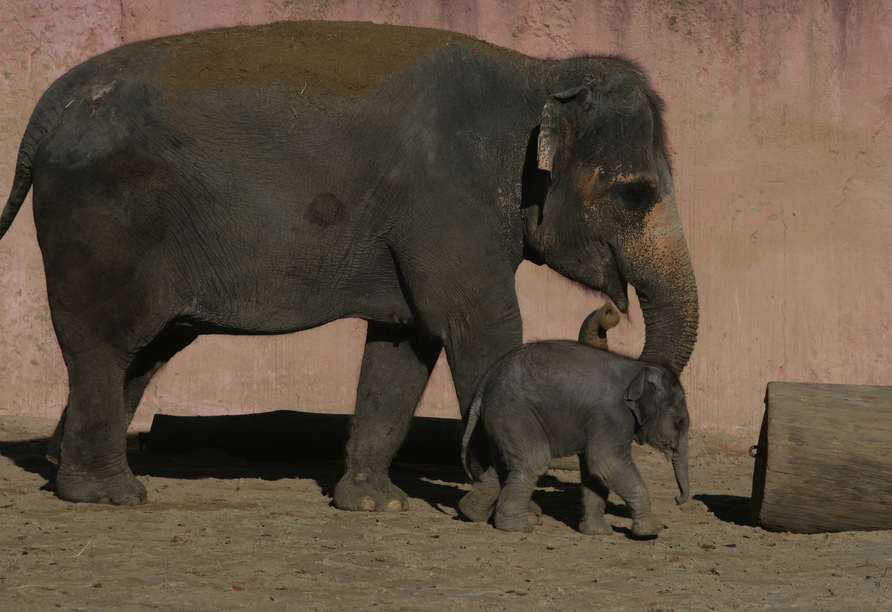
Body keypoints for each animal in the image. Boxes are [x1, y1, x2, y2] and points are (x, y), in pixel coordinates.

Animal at [0, 21, 696, 510]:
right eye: (636, 194)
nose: (610, 311)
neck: (538, 74)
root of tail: (56, 99)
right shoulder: (448, 202)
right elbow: (482, 326)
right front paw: (494, 497)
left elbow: (406, 343)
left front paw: (375, 505)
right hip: (100, 221)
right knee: (104, 344)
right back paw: (108, 494)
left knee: (144, 350)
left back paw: (63, 466)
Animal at [460, 304, 688, 536]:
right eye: (680, 422)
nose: (678, 499)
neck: (639, 366)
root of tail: (484, 384)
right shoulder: (612, 416)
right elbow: (606, 463)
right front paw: (652, 531)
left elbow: (592, 469)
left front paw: (597, 531)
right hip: (515, 413)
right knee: (532, 460)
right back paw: (517, 527)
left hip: (502, 418)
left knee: (504, 463)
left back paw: (470, 512)